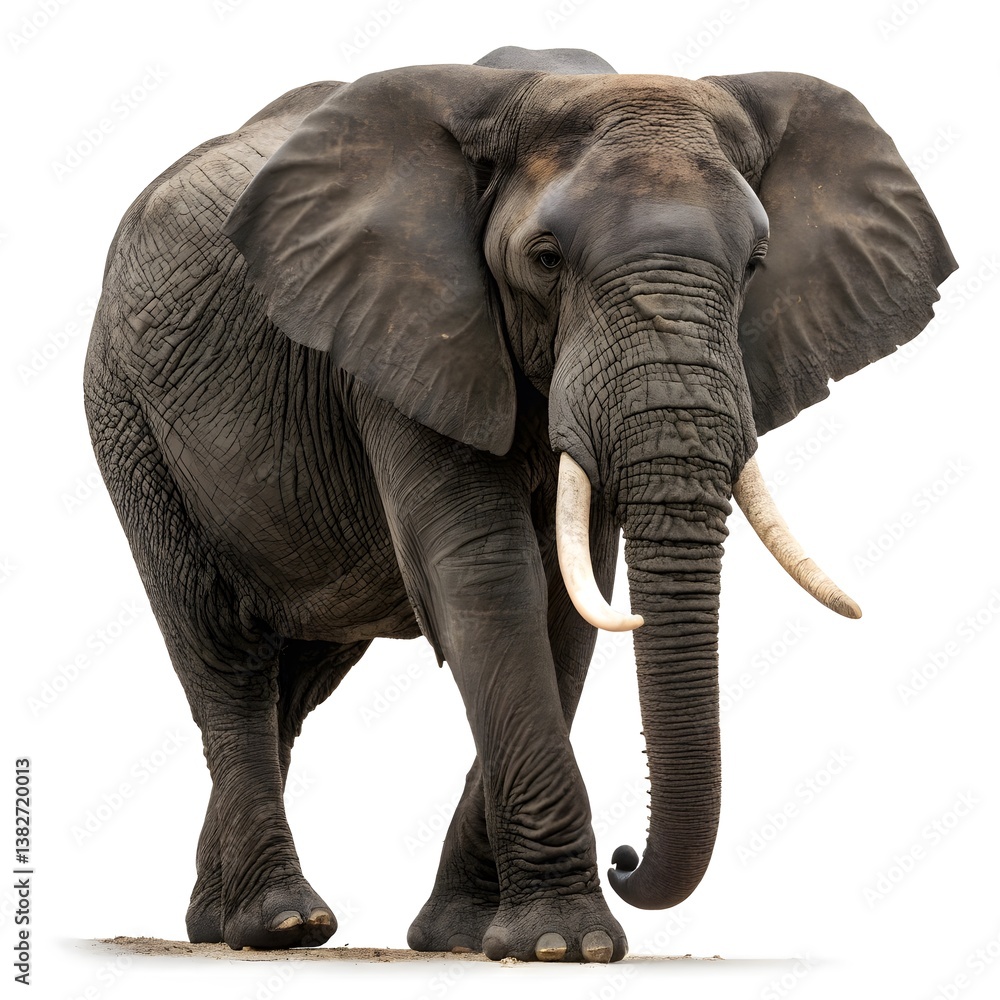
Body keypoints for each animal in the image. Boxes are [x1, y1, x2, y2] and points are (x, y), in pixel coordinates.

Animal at [83, 45, 955, 962]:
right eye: (545, 260)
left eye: (756, 264)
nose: (625, 858)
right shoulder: (408, 329)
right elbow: (489, 577)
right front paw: (566, 944)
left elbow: (571, 604)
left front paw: (467, 937)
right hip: (127, 414)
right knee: (224, 652)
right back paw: (281, 925)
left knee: (296, 681)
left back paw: (214, 924)